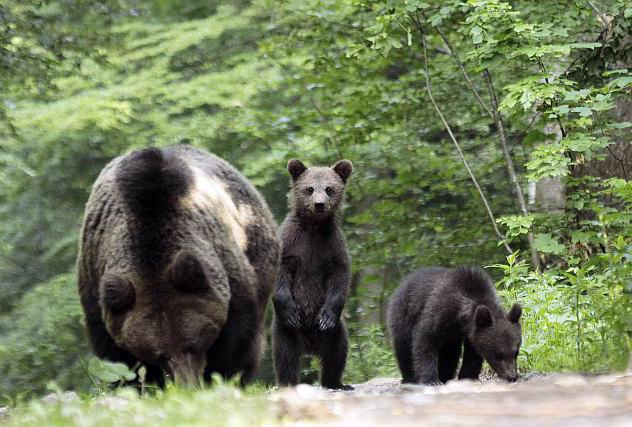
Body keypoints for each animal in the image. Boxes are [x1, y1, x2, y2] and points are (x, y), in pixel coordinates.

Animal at [76, 145, 278, 386]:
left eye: (192, 343)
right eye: (158, 354)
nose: (187, 385)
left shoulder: (228, 275)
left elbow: (238, 339)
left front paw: (225, 375)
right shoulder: (96, 280)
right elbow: (116, 358)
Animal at [270, 158, 354, 392]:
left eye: (329, 188)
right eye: (309, 189)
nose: (319, 204)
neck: (314, 228)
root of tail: (309, 347)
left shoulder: (332, 247)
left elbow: (340, 276)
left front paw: (326, 318)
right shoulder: (292, 243)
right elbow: (280, 273)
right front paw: (291, 311)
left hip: (336, 331)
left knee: (337, 352)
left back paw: (337, 383)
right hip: (284, 331)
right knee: (285, 356)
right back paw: (287, 383)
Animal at [388, 268, 520, 384]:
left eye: (516, 352)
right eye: (499, 354)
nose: (512, 376)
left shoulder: (470, 331)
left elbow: (472, 353)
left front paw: (468, 376)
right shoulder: (438, 312)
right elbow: (425, 340)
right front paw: (431, 380)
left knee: (450, 353)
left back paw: (445, 376)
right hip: (403, 314)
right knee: (403, 346)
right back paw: (409, 378)